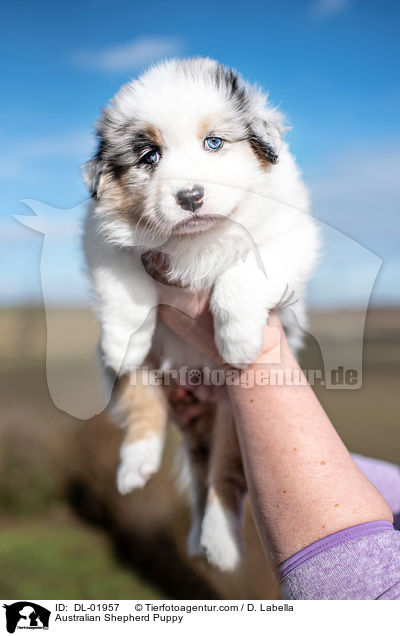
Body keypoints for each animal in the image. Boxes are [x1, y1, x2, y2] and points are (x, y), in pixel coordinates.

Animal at [82, 58, 318, 572]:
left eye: (214, 143)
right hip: (147, 373)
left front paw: (238, 340)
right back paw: (135, 467)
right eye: (149, 156)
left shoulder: (290, 235)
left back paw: (219, 544)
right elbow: (125, 286)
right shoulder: (104, 241)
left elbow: (242, 274)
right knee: (143, 403)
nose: (190, 196)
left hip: (236, 416)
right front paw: (123, 339)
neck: (195, 237)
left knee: (222, 476)